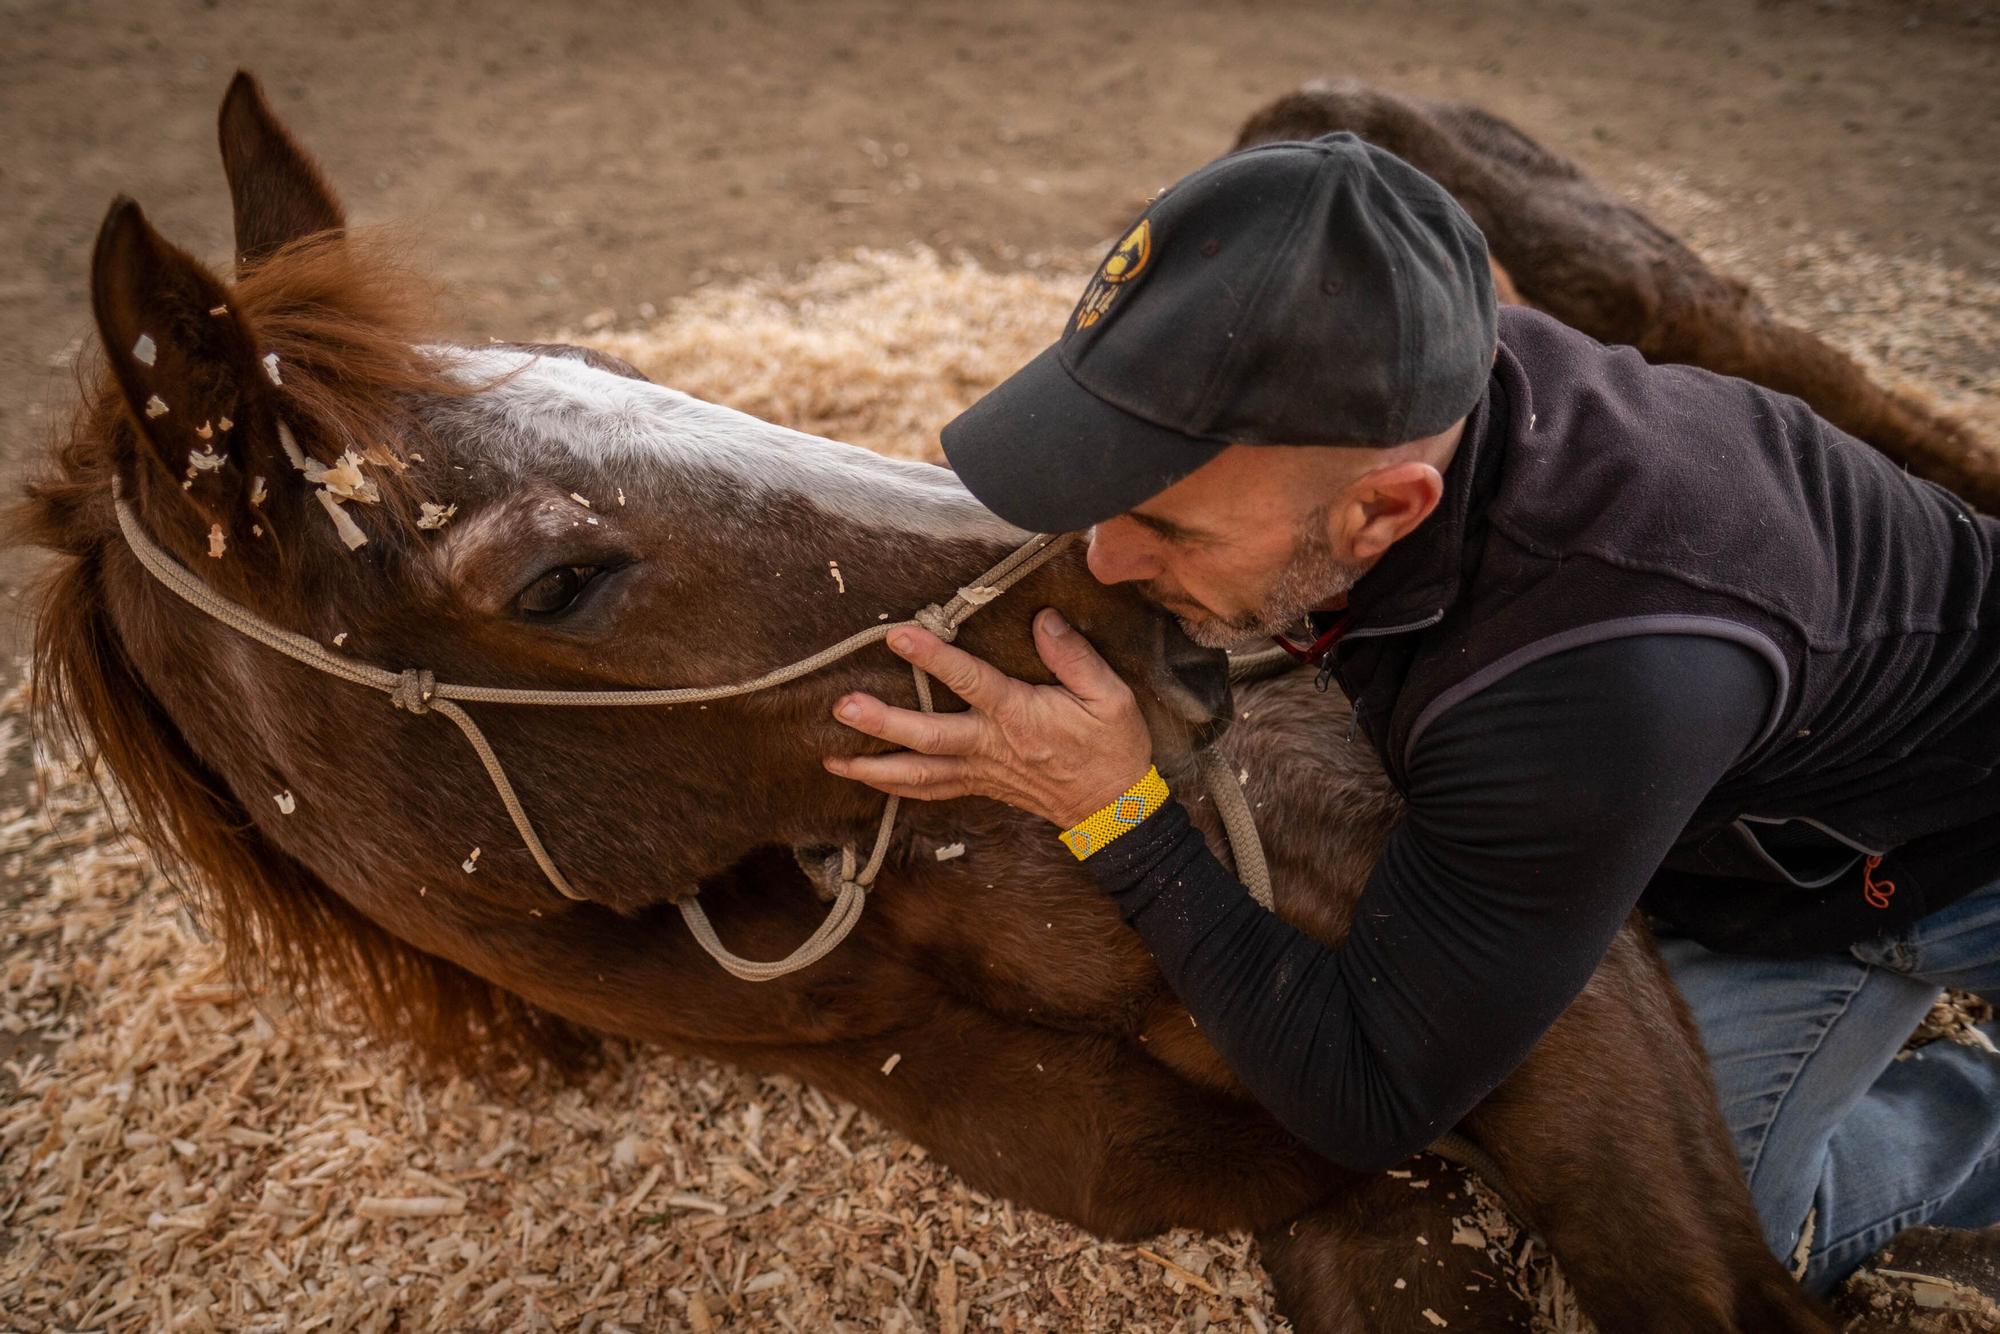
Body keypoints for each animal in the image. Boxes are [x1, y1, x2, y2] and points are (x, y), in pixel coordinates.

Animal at [11, 75, 1832, 1334]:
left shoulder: (1534, 978)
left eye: (618, 367)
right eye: (555, 580)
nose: (1145, 597)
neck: (889, 942)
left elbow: (1712, 1289)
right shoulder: (1317, 1170)